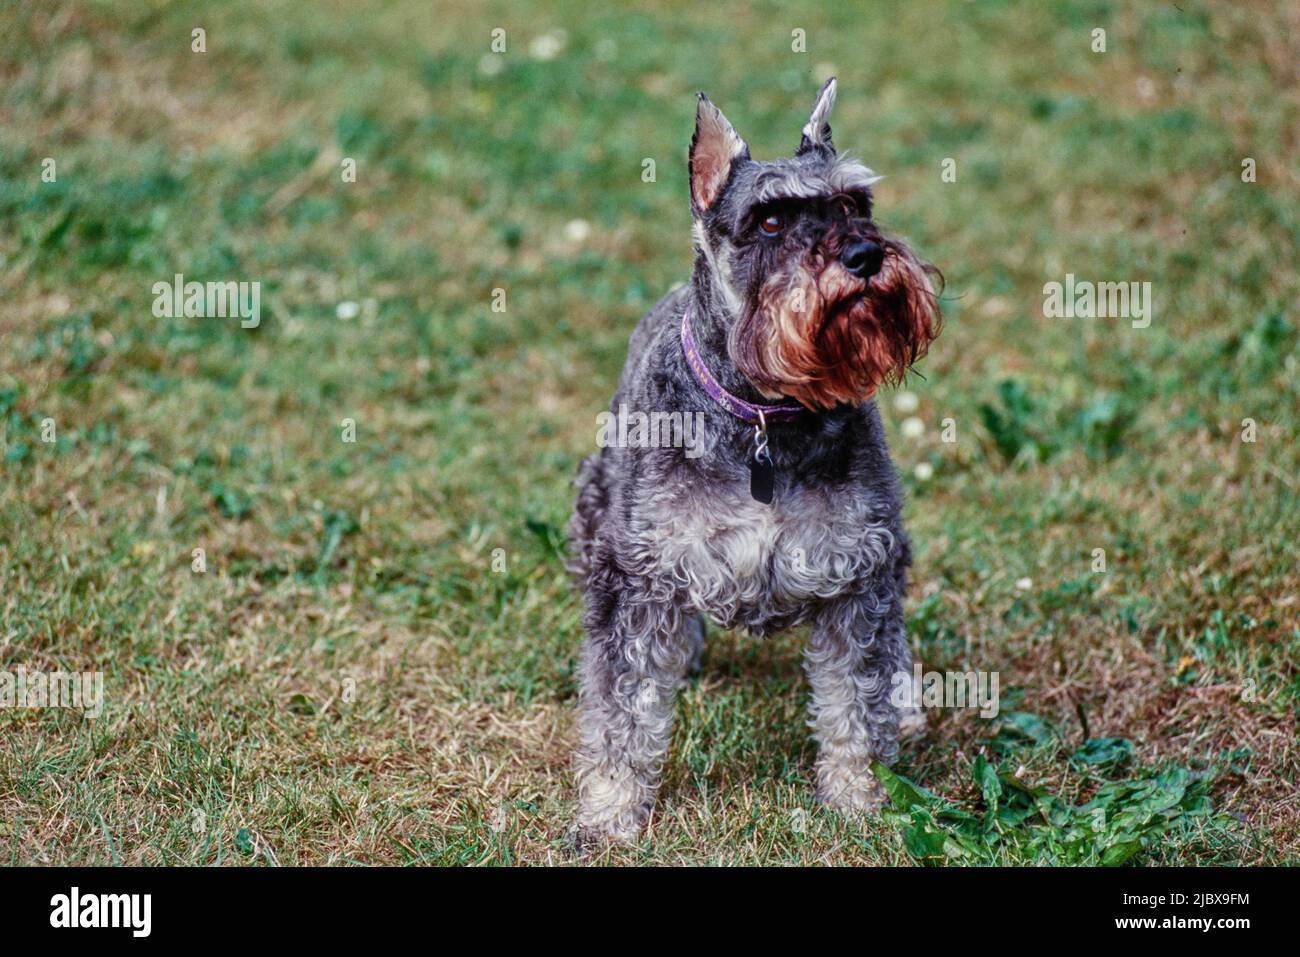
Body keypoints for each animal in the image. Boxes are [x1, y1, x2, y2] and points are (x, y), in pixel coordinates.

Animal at [564, 80, 941, 842]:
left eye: (856, 204)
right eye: (769, 220)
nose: (865, 256)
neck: (765, 418)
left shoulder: (862, 573)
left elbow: (858, 701)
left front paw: (860, 798)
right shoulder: (638, 580)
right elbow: (623, 709)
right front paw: (610, 813)